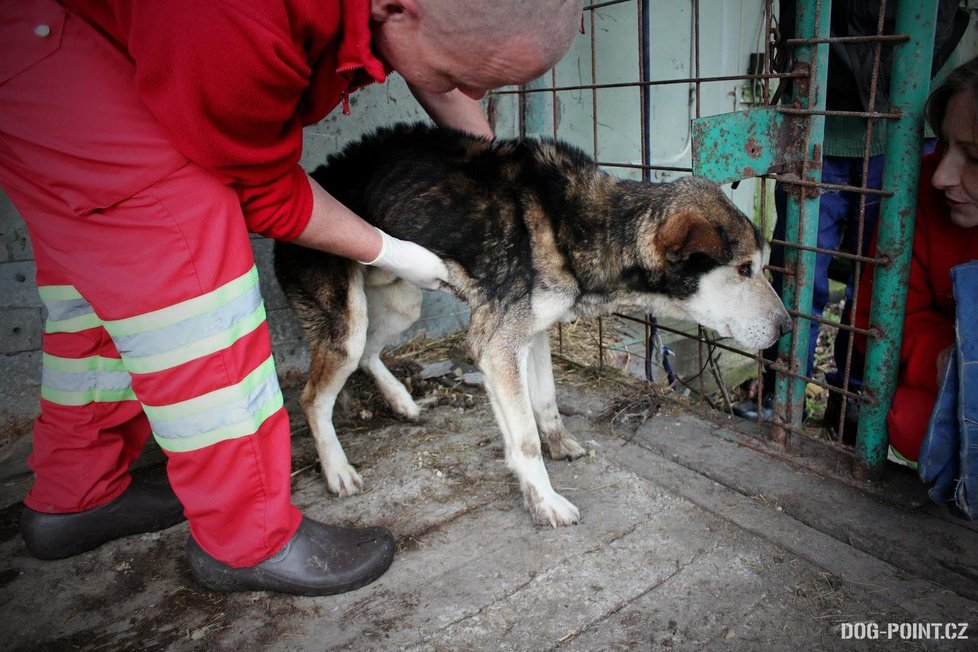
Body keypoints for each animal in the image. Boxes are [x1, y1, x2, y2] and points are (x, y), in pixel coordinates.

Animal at [272, 123, 784, 524]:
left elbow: (546, 403)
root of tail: (312, 182)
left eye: (762, 265)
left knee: (370, 354)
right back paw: (338, 470)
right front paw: (546, 501)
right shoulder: (496, 345)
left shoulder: (531, 333)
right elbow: (524, 439)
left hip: (402, 301)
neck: (581, 224)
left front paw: (557, 445)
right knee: (314, 397)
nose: (784, 328)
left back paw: (401, 400)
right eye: (744, 269)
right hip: (348, 322)